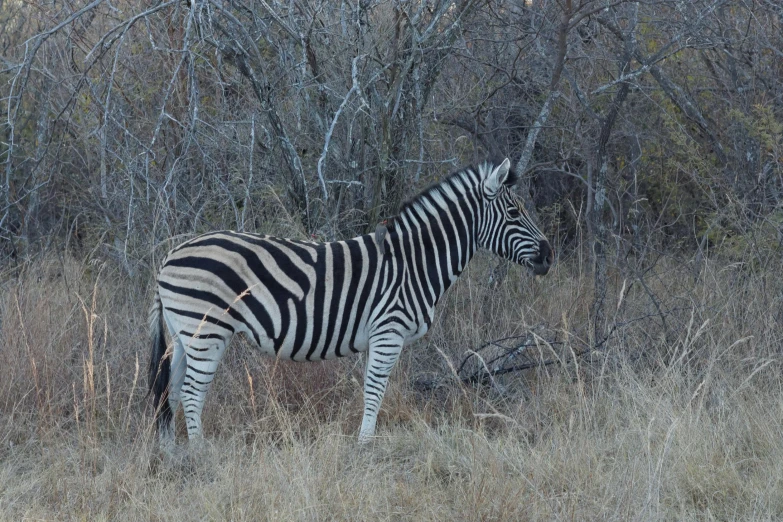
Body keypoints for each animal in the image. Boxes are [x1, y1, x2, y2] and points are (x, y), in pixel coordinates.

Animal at [147, 157, 552, 442]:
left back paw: (174, 456)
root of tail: (169, 256)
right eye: (514, 212)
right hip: (206, 331)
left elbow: (374, 389)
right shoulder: (388, 330)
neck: (413, 263)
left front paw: (365, 443)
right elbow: (375, 390)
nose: (549, 255)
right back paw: (201, 456)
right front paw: (365, 446)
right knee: (191, 394)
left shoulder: (380, 335)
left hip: (184, 335)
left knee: (171, 394)